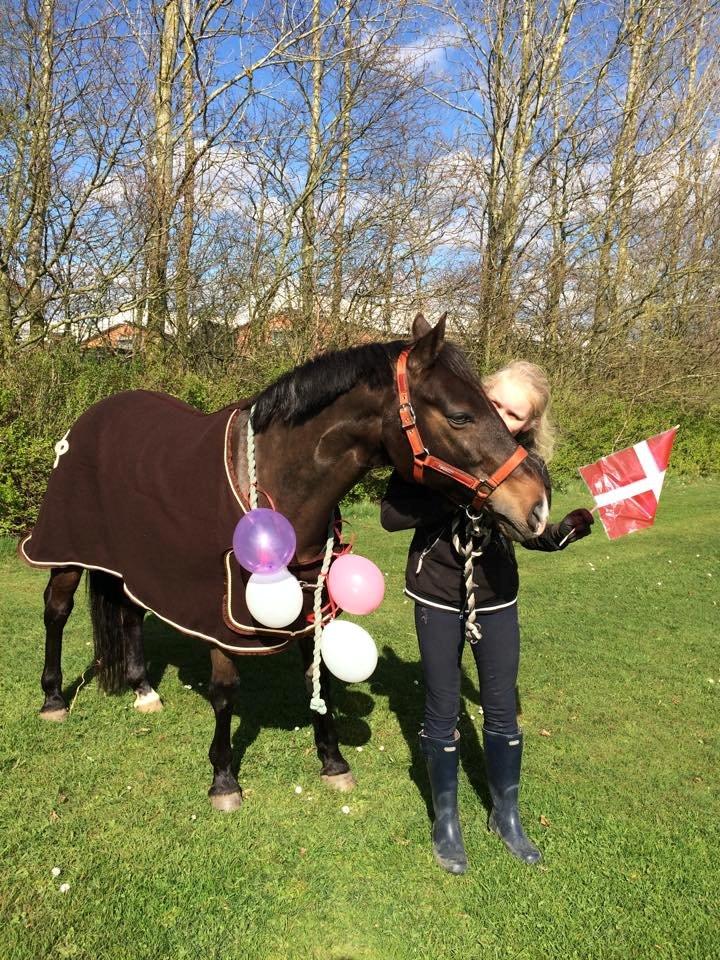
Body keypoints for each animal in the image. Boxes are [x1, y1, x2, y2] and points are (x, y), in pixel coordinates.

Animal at [20, 313, 549, 811]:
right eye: (460, 416)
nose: (537, 506)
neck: (279, 481)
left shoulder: (312, 596)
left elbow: (321, 679)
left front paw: (334, 763)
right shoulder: (222, 616)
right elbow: (225, 690)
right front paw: (223, 780)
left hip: (130, 561)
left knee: (129, 611)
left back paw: (143, 690)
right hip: (66, 551)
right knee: (56, 609)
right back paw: (53, 698)